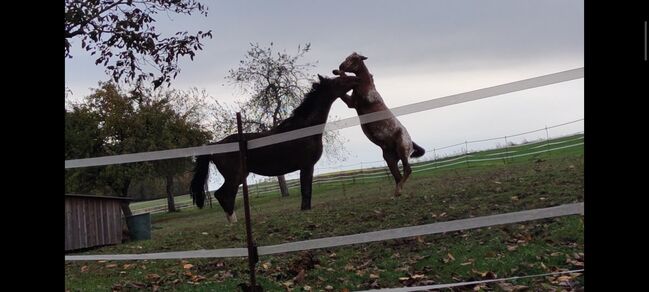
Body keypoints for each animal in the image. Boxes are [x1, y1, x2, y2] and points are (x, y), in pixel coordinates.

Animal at [189, 74, 360, 222]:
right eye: (338, 81)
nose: (356, 79)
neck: (304, 128)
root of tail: (215, 146)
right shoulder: (306, 166)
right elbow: (306, 192)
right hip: (235, 176)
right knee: (223, 195)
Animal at [334, 53, 426, 197]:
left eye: (353, 59)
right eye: (347, 57)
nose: (340, 66)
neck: (367, 87)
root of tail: (410, 141)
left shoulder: (356, 102)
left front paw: (338, 73)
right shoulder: (351, 103)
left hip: (402, 150)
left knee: (407, 170)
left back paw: (398, 191)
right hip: (390, 158)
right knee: (398, 176)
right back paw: (397, 192)